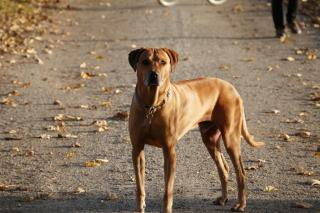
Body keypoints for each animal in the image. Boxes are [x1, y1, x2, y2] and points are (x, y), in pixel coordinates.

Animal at [128, 48, 264, 213]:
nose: (154, 75)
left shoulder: (169, 150)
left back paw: (241, 204)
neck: (152, 106)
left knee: (241, 172)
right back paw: (223, 198)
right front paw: (139, 208)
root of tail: (231, 86)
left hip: (231, 137)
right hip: (209, 138)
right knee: (223, 167)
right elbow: (140, 187)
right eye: (145, 62)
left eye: (163, 62)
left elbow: (168, 190)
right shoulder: (137, 149)